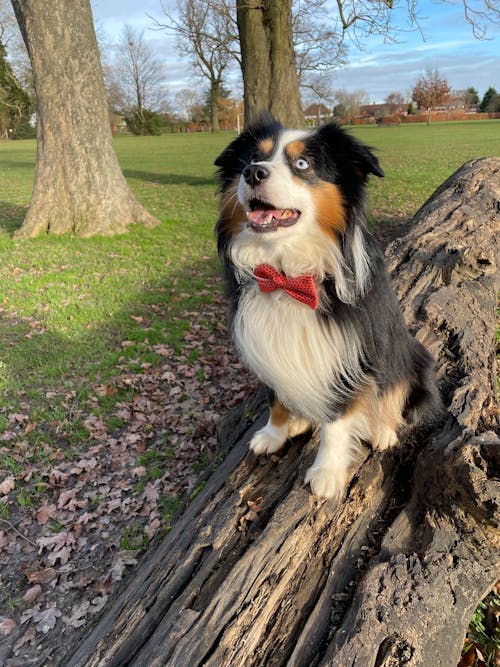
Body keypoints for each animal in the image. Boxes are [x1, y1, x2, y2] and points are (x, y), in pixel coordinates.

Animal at [215, 115, 442, 498]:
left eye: (303, 164)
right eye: (252, 158)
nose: (253, 173)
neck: (287, 273)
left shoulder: (348, 355)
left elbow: (338, 419)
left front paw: (327, 471)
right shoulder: (268, 344)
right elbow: (276, 398)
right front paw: (274, 433)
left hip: (411, 359)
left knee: (394, 398)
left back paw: (382, 430)